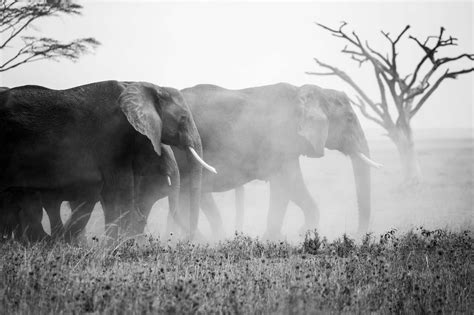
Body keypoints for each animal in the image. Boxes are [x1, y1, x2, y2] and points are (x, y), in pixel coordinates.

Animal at [168, 82, 380, 238]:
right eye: (350, 119)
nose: (354, 236)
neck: (303, 92)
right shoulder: (279, 141)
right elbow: (288, 185)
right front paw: (285, 236)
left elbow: (290, 187)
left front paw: (297, 233)